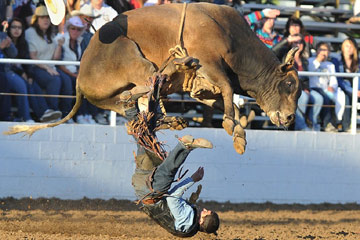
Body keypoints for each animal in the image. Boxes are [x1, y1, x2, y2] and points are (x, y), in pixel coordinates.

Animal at [3, 2, 300, 155]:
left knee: (138, 109)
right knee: (148, 85)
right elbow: (228, 90)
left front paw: (237, 126)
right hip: (131, 55)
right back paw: (178, 67)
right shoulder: (210, 62)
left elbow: (225, 100)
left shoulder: (201, 87)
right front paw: (235, 131)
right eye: (289, 84)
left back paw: (173, 117)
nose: (288, 118)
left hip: (114, 100)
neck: (229, 33)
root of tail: (79, 78)